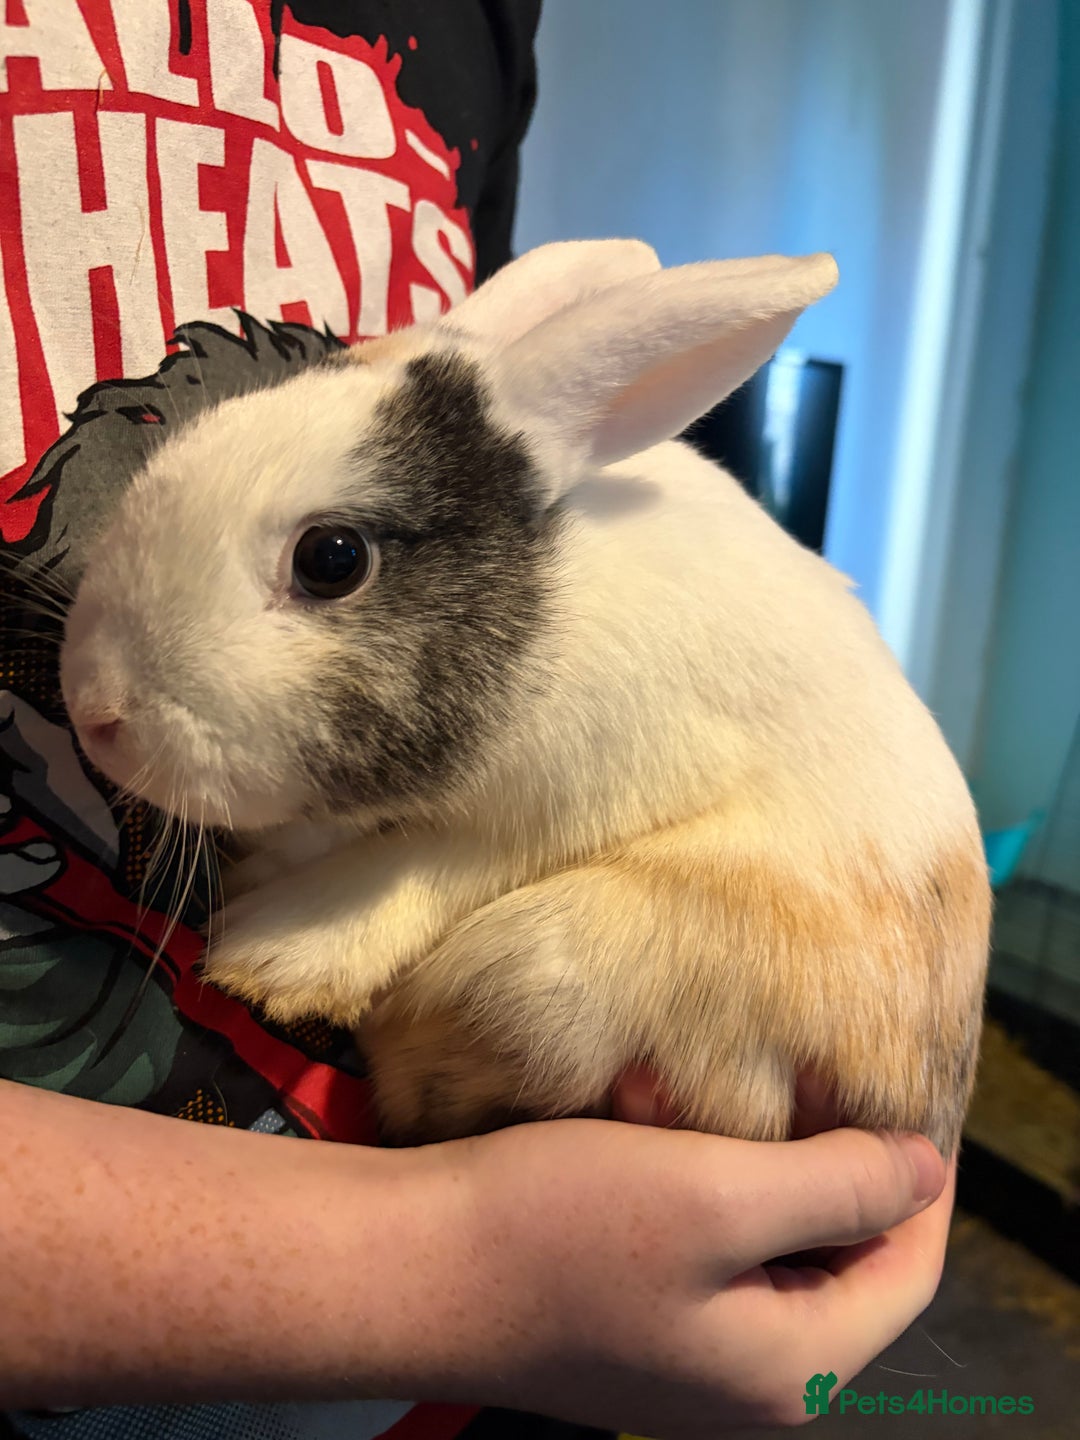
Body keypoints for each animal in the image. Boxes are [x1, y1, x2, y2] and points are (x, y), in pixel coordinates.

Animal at [59, 238, 990, 1155]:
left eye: (332, 558)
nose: (96, 712)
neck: (544, 632)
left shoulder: (558, 807)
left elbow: (422, 865)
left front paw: (273, 957)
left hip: (546, 978)